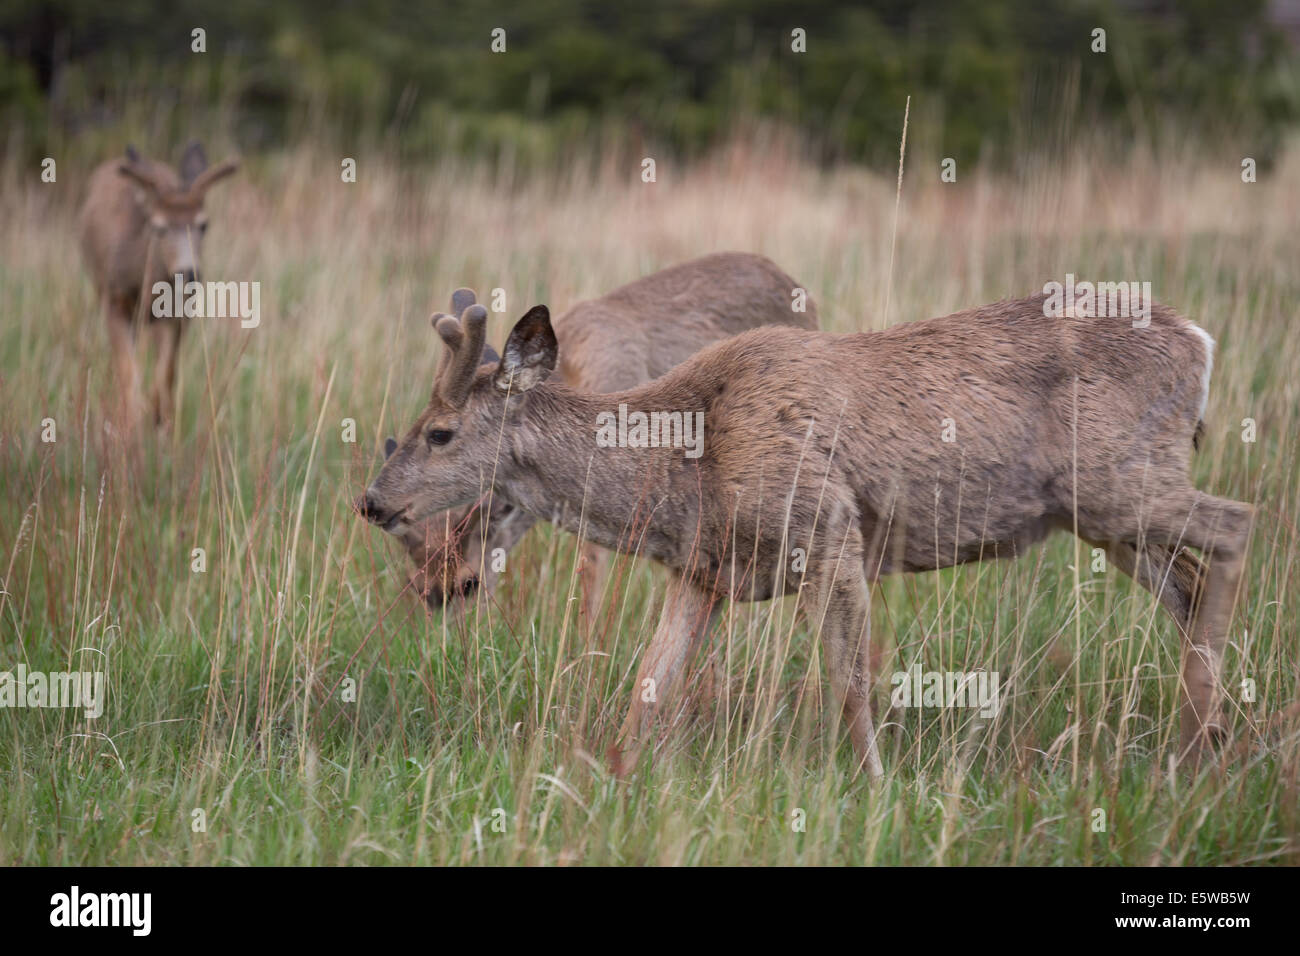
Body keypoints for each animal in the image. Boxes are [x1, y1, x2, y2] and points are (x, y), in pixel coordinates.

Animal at [79, 141, 239, 429]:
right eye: (160, 227)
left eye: (204, 225)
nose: (189, 272)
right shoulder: (113, 299)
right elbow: (127, 370)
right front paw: (131, 420)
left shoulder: (180, 312)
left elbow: (168, 371)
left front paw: (159, 416)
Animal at [361, 291, 1253, 780]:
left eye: (439, 433)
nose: (372, 501)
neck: (691, 455)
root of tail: (1203, 343)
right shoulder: (705, 573)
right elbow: (648, 685)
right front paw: (609, 779)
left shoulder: (830, 528)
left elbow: (850, 681)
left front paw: (878, 784)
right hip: (1106, 515)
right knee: (1190, 583)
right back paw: (1207, 741)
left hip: (1116, 481)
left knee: (1239, 528)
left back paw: (1201, 748)